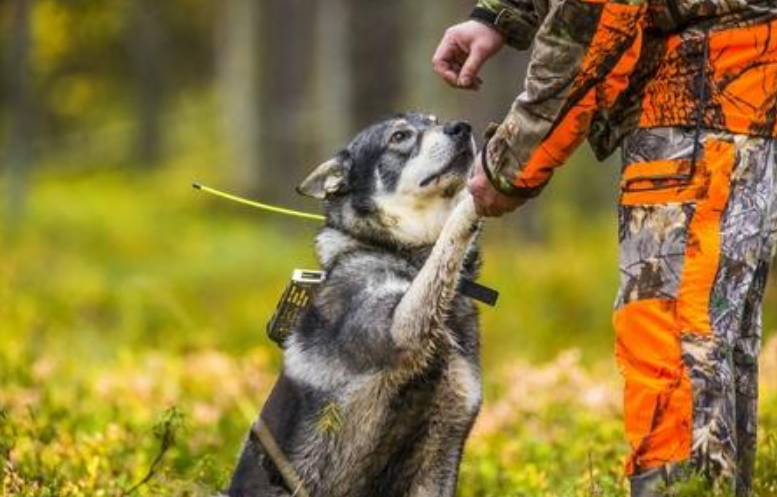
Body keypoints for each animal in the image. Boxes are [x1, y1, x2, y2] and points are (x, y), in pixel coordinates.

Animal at [221, 113, 482, 496]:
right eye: (399, 136)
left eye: (435, 121)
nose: (462, 128)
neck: (396, 252)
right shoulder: (398, 328)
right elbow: (447, 242)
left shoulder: (443, 447)